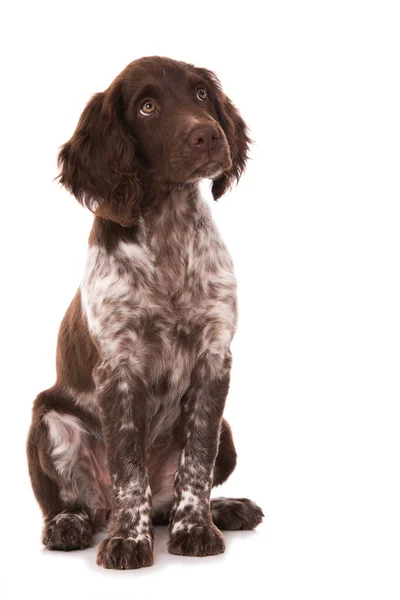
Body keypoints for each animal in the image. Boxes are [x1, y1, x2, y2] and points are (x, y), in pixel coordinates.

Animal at [25, 57, 262, 572]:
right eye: (147, 107)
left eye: (200, 94)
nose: (209, 134)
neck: (168, 228)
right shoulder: (118, 366)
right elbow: (129, 467)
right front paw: (128, 541)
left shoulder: (215, 358)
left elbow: (196, 460)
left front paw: (196, 528)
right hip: (46, 420)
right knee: (74, 502)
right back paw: (71, 525)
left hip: (229, 435)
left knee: (168, 499)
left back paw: (225, 509)